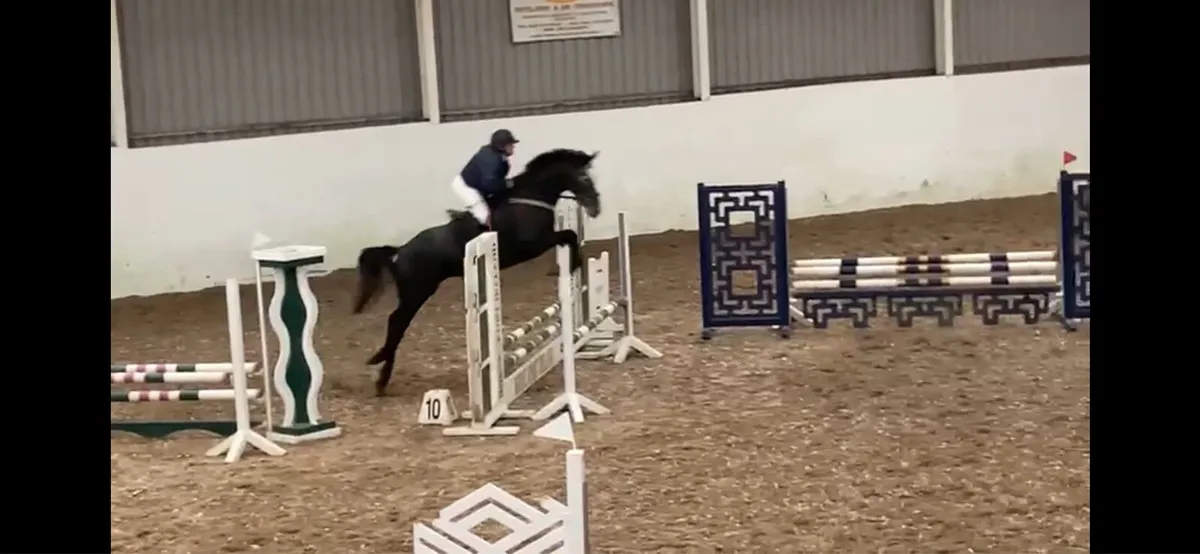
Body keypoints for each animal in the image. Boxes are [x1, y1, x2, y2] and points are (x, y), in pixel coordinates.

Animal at [352, 148, 603, 396]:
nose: (595, 208)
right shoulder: (535, 244)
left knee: (398, 323)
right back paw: (380, 368)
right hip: (416, 292)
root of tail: (400, 251)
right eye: (584, 178)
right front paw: (574, 264)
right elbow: (569, 234)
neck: (531, 198)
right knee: (397, 322)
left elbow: (570, 236)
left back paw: (382, 376)